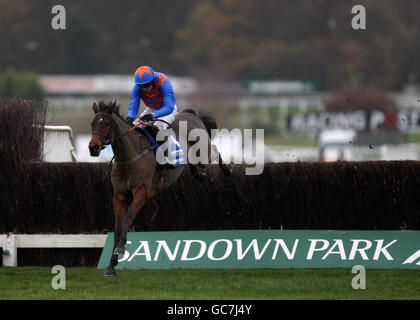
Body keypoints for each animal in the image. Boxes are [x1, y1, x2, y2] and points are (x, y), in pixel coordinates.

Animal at [86, 101, 228, 276]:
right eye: (92, 123)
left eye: (106, 123)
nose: (93, 147)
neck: (129, 157)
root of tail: (191, 114)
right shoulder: (119, 195)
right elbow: (118, 226)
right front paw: (111, 266)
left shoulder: (141, 192)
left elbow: (127, 219)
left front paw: (120, 249)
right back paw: (198, 175)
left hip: (203, 154)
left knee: (214, 149)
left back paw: (227, 170)